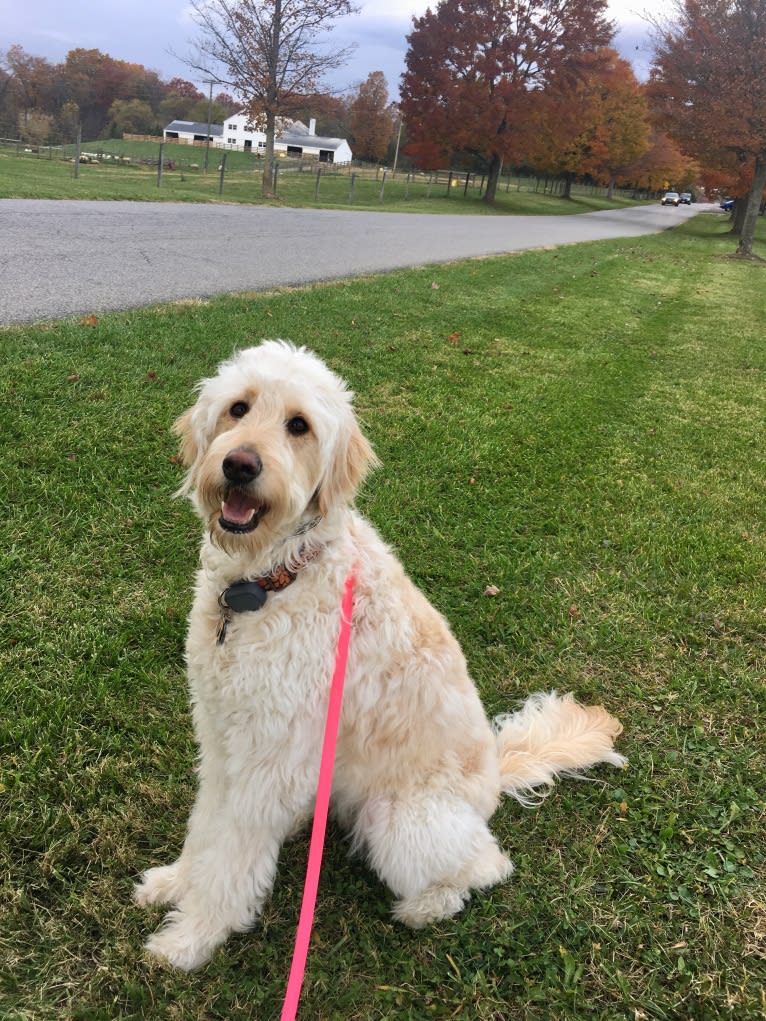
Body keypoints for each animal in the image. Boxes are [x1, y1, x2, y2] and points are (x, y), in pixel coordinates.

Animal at [133, 338, 625, 967]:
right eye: (238, 408)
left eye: (299, 426)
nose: (240, 464)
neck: (271, 580)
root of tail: (495, 774)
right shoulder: (222, 735)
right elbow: (206, 825)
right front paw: (175, 882)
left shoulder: (268, 753)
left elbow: (232, 853)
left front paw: (192, 937)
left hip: (398, 822)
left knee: (487, 864)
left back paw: (424, 907)